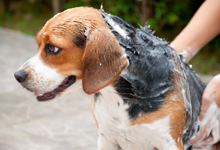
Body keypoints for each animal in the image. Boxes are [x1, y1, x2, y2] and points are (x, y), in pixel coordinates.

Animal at [14, 6, 219, 149]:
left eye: (52, 48)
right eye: (39, 44)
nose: (17, 76)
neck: (121, 96)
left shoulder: (169, 142)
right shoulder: (106, 137)